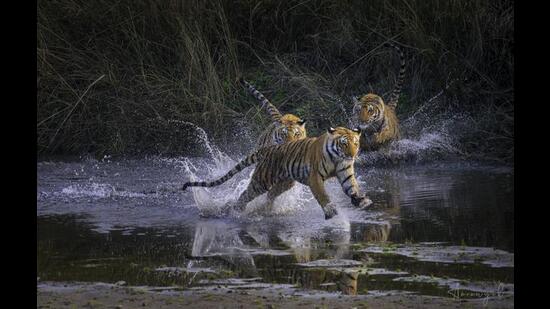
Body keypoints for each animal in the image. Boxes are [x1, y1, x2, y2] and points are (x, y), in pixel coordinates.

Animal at [183, 125, 374, 219]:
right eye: (344, 143)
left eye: (356, 143)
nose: (352, 155)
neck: (337, 158)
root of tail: (267, 149)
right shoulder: (315, 177)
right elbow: (322, 195)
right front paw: (331, 211)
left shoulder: (345, 172)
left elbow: (352, 187)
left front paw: (362, 201)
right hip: (262, 180)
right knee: (246, 194)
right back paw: (235, 211)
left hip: (285, 182)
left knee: (270, 196)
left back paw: (265, 211)